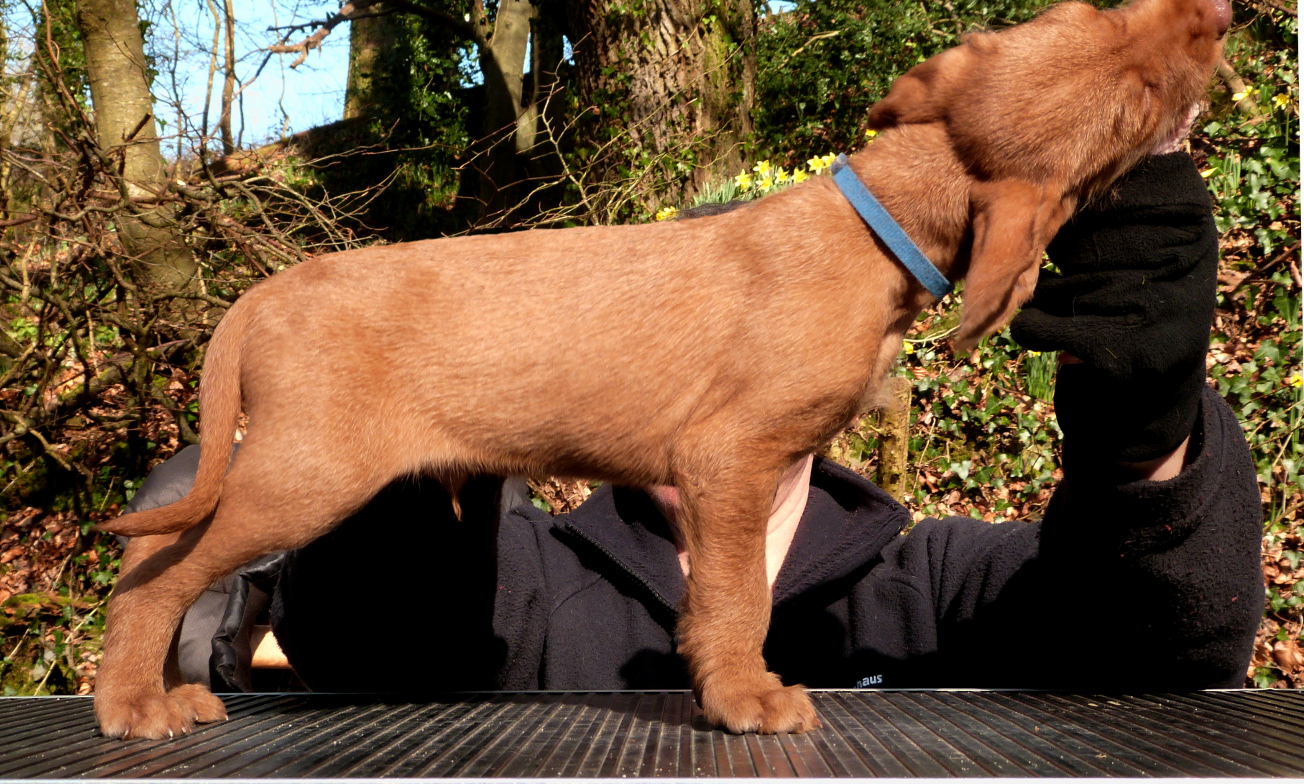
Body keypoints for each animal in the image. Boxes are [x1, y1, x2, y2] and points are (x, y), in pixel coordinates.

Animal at [94, 0, 1229, 739]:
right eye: (1136, 101)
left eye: (1100, 9)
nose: (1214, 9)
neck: (873, 223)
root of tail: (267, 293)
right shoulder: (728, 456)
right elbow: (735, 597)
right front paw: (744, 702)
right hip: (305, 472)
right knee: (156, 569)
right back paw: (132, 705)